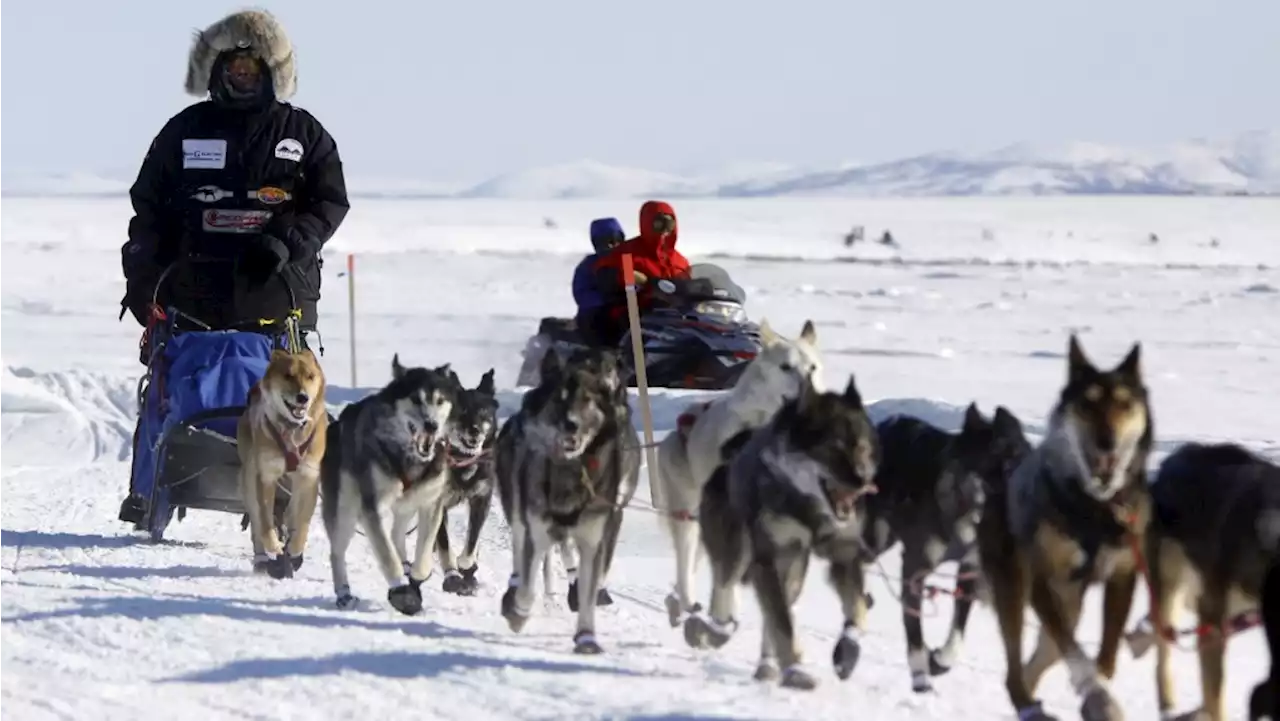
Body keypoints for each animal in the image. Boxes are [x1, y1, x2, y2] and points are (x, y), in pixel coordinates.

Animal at [236, 348, 327, 581]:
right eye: (288, 375)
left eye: (310, 376)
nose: (303, 397)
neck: (292, 429)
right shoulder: (265, 477)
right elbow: (265, 522)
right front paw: (274, 548)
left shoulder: (308, 478)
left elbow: (302, 523)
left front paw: (294, 551)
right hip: (249, 481)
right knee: (258, 521)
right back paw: (264, 558)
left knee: (290, 515)